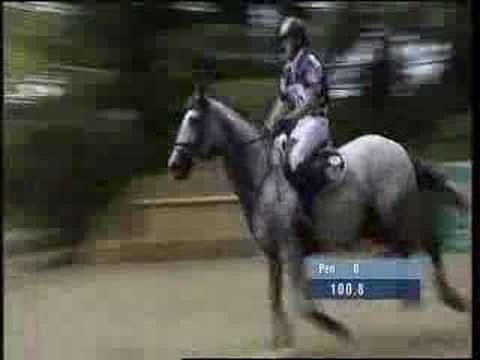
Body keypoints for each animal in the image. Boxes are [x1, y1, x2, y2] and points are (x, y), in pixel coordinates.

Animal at [166, 84, 468, 348]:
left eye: (194, 120)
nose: (175, 165)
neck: (261, 178)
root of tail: (397, 148)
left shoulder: (290, 250)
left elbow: (302, 304)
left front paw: (338, 329)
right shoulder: (273, 255)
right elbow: (274, 297)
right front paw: (282, 339)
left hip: (396, 215)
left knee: (428, 244)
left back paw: (451, 299)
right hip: (376, 224)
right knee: (410, 249)